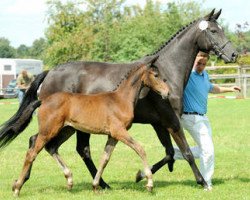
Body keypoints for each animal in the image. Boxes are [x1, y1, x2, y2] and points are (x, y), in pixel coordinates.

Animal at [11, 63, 168, 196]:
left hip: (66, 130)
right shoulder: (119, 131)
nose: (166, 92)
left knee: (51, 147)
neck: (120, 99)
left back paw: (69, 180)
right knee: (32, 152)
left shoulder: (113, 136)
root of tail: (43, 101)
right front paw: (149, 183)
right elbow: (140, 149)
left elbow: (105, 159)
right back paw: (17, 188)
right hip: (49, 130)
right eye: (155, 75)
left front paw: (95, 185)